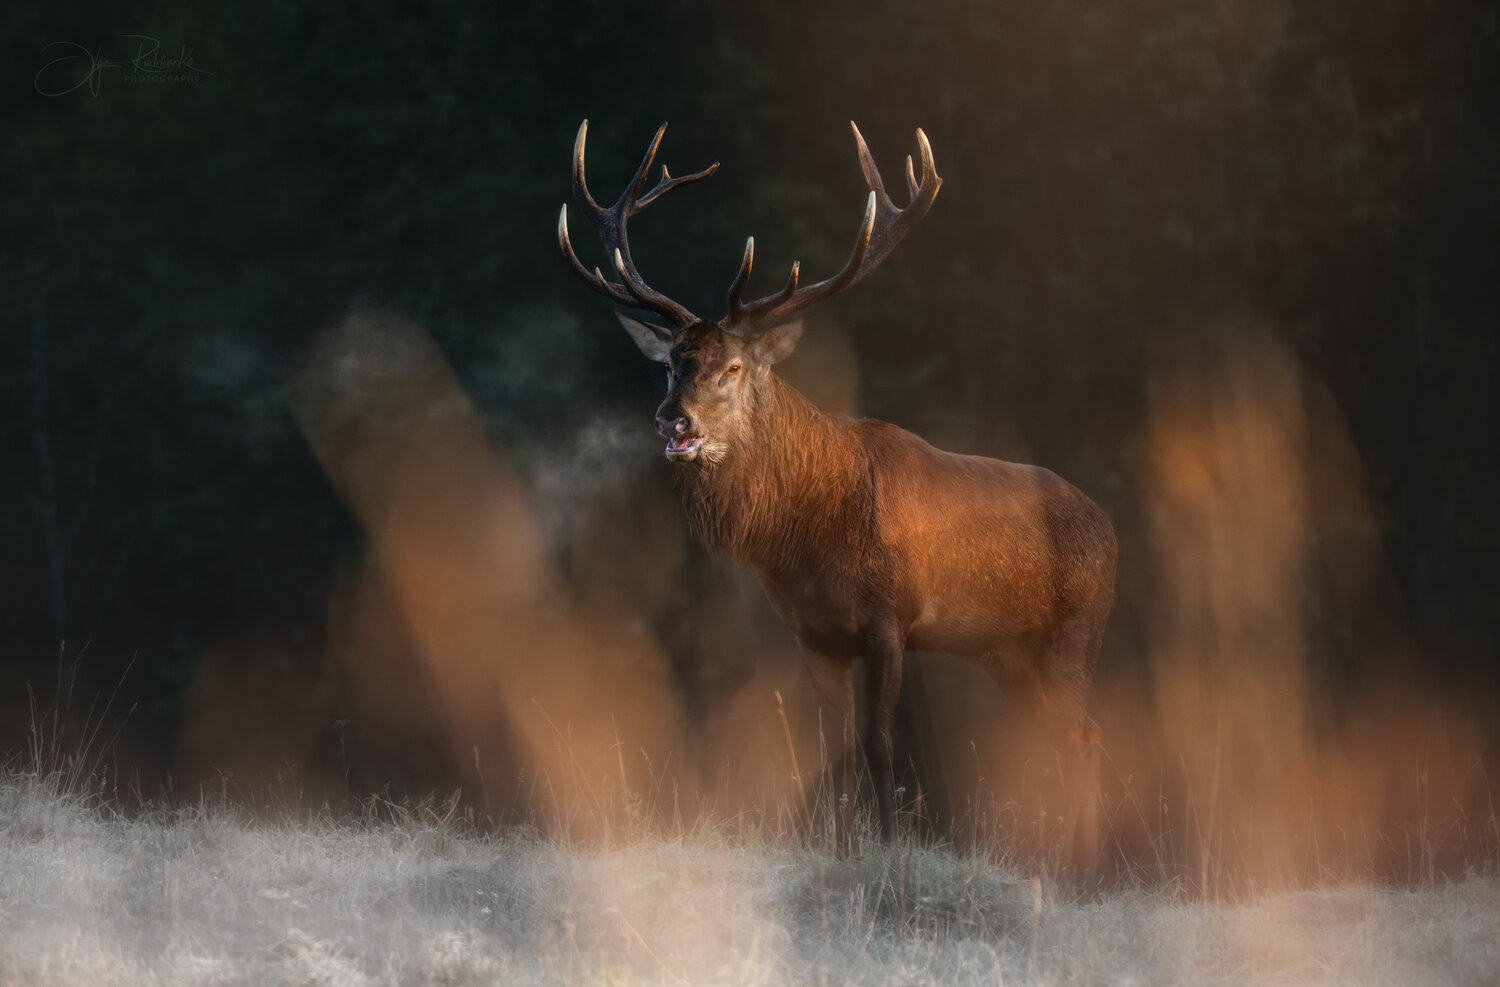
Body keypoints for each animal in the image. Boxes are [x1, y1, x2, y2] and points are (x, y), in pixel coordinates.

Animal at [557, 120, 1117, 871]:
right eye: (673, 362)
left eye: (734, 366)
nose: (674, 421)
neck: (809, 541)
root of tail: (1111, 530)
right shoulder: (813, 633)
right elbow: (838, 750)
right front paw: (845, 846)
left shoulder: (890, 616)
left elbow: (879, 744)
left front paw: (891, 846)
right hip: (1013, 654)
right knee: (1061, 739)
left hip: (1076, 632)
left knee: (1087, 737)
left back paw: (1086, 867)